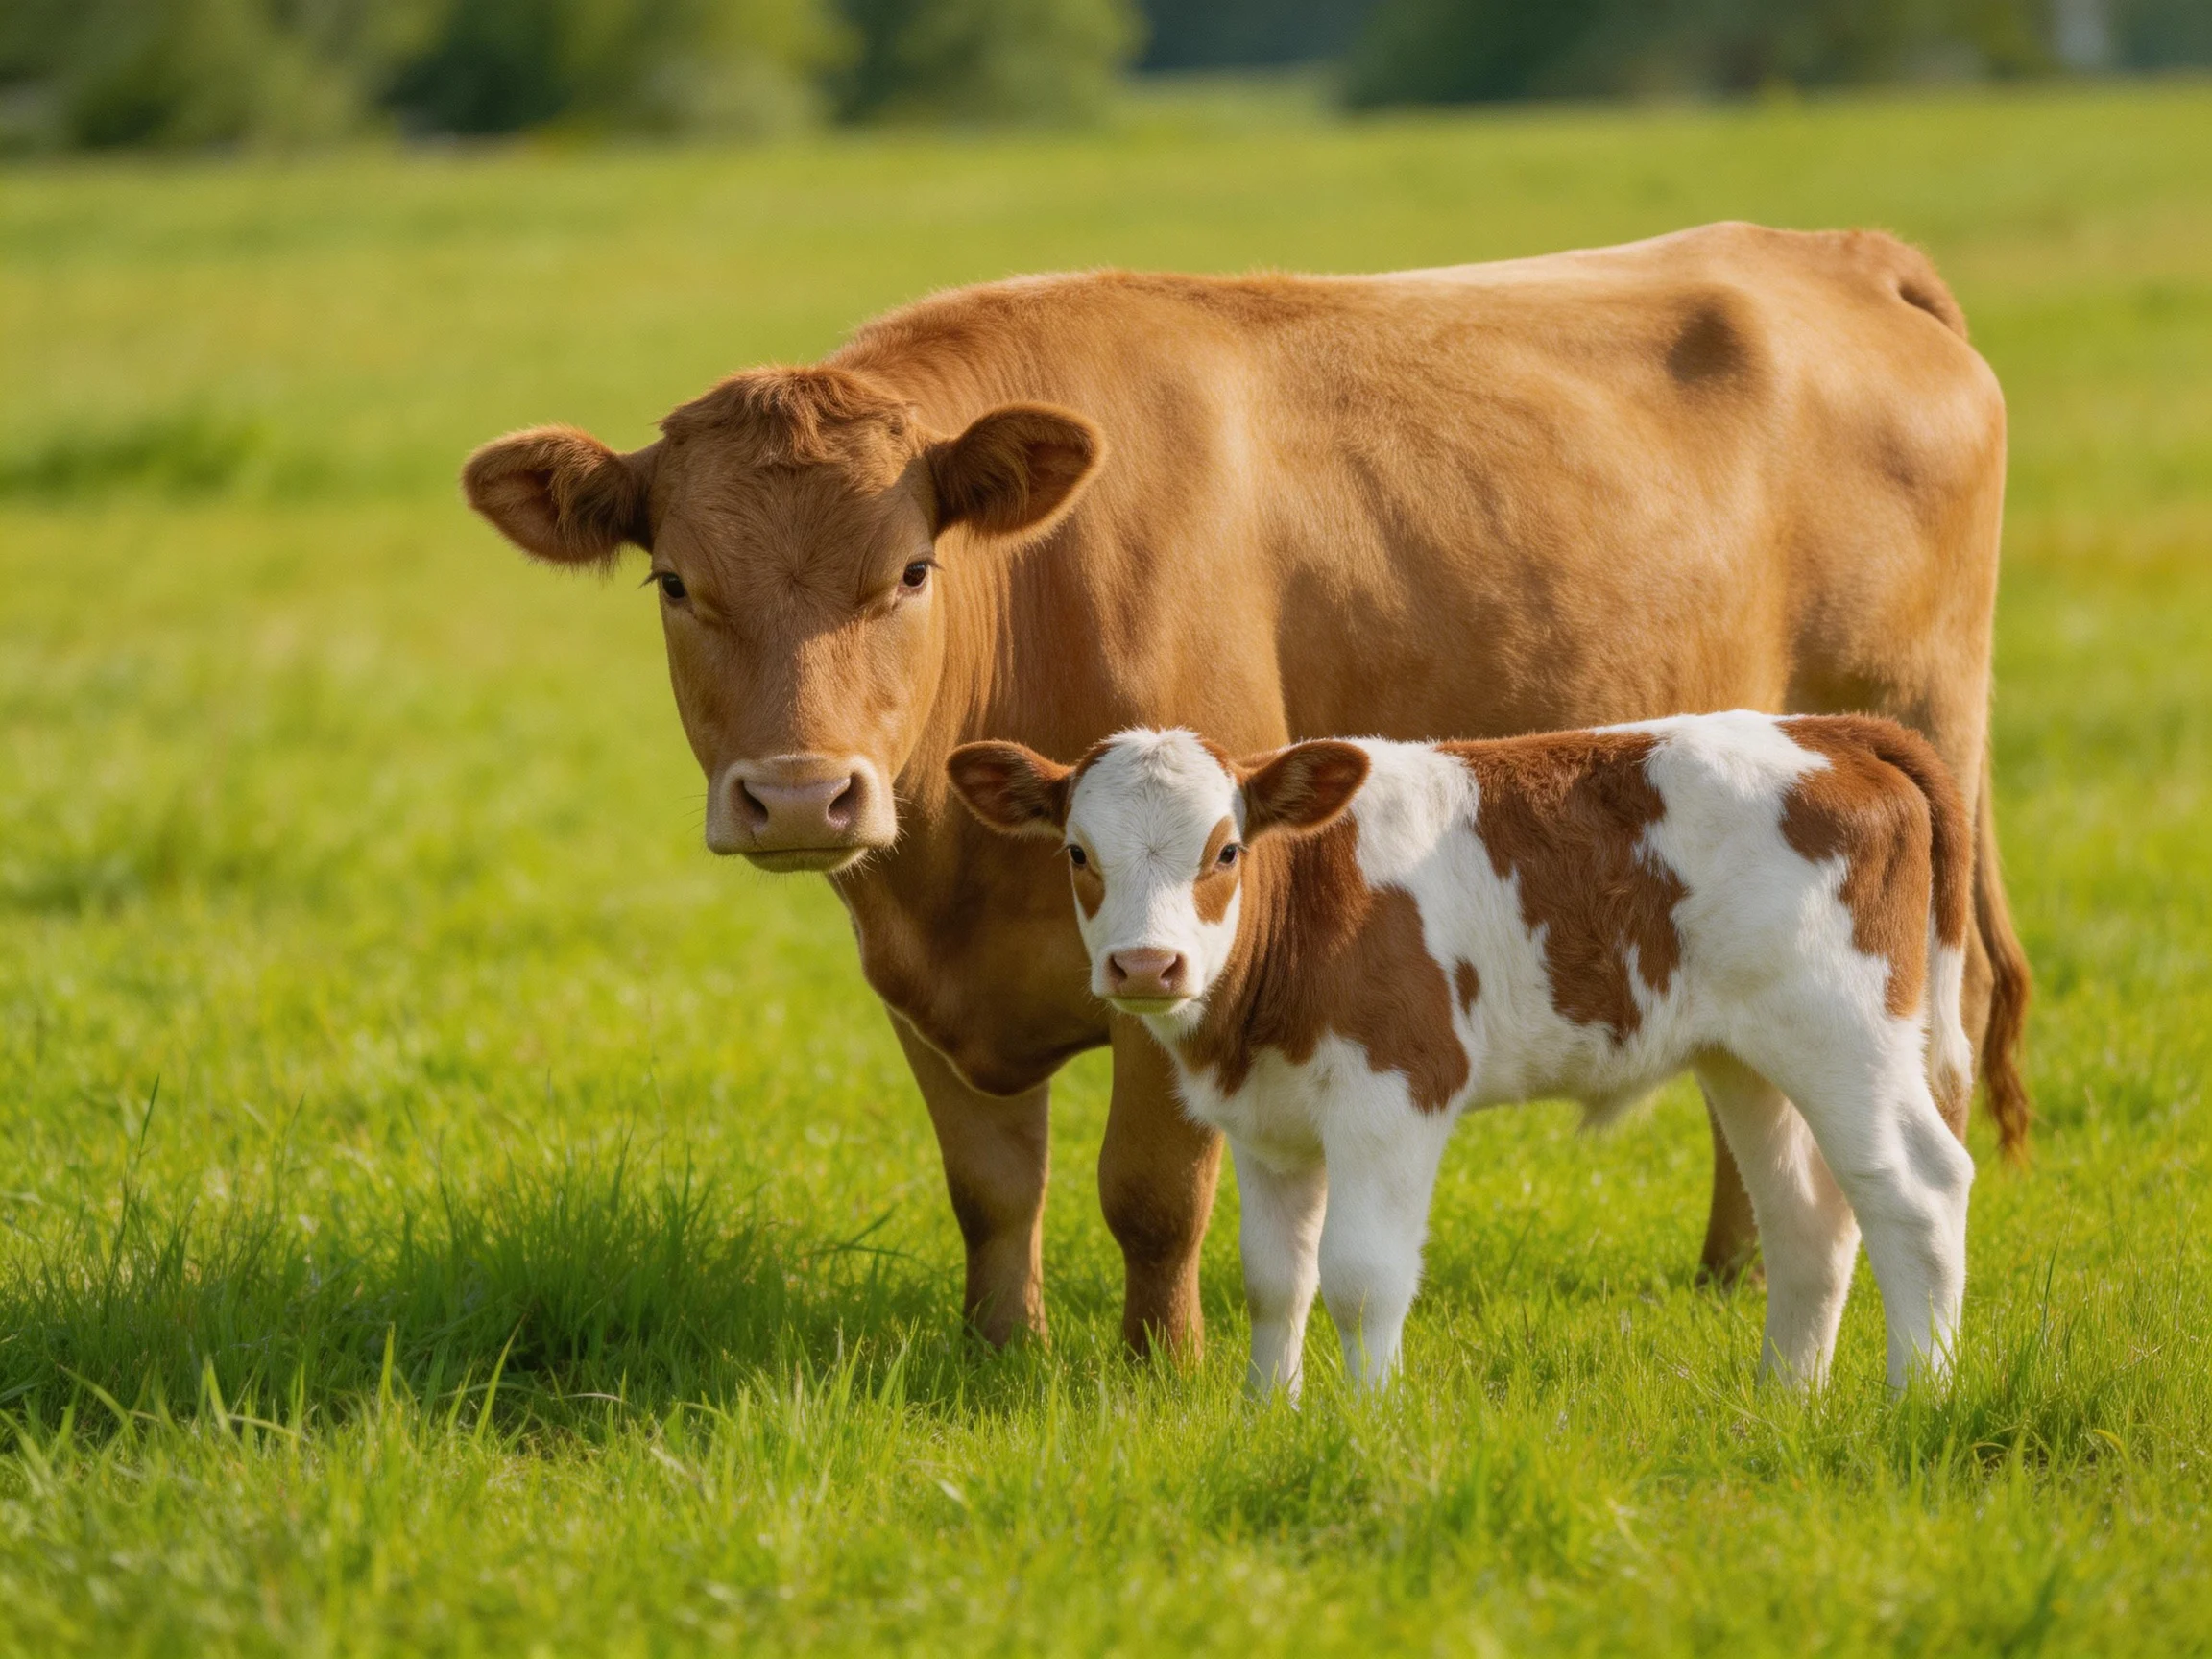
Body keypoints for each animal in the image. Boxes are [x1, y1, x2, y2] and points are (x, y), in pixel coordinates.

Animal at [947, 715, 1977, 1394]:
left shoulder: (1396, 1093)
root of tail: (1827, 730)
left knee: (1918, 1188)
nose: (1145, 964)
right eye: (1078, 853)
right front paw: (1266, 1416)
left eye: (1227, 850)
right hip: (1748, 1056)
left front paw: (1362, 1428)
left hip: (1845, 1029)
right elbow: (1277, 1280)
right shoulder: (1269, 1124)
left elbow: (1363, 1279)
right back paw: (1781, 1403)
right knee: (1809, 1217)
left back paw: (1917, 1396)